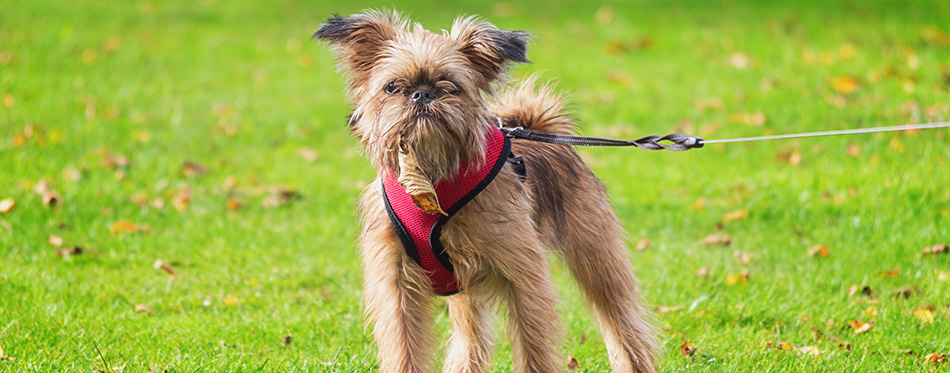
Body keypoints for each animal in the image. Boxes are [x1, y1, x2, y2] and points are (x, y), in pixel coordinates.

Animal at [316, 9, 660, 372]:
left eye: (451, 87)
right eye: (392, 87)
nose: (422, 94)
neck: (430, 182)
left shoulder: (524, 279)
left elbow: (534, 348)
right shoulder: (396, 289)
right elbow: (404, 350)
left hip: (597, 259)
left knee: (623, 325)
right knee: (472, 340)